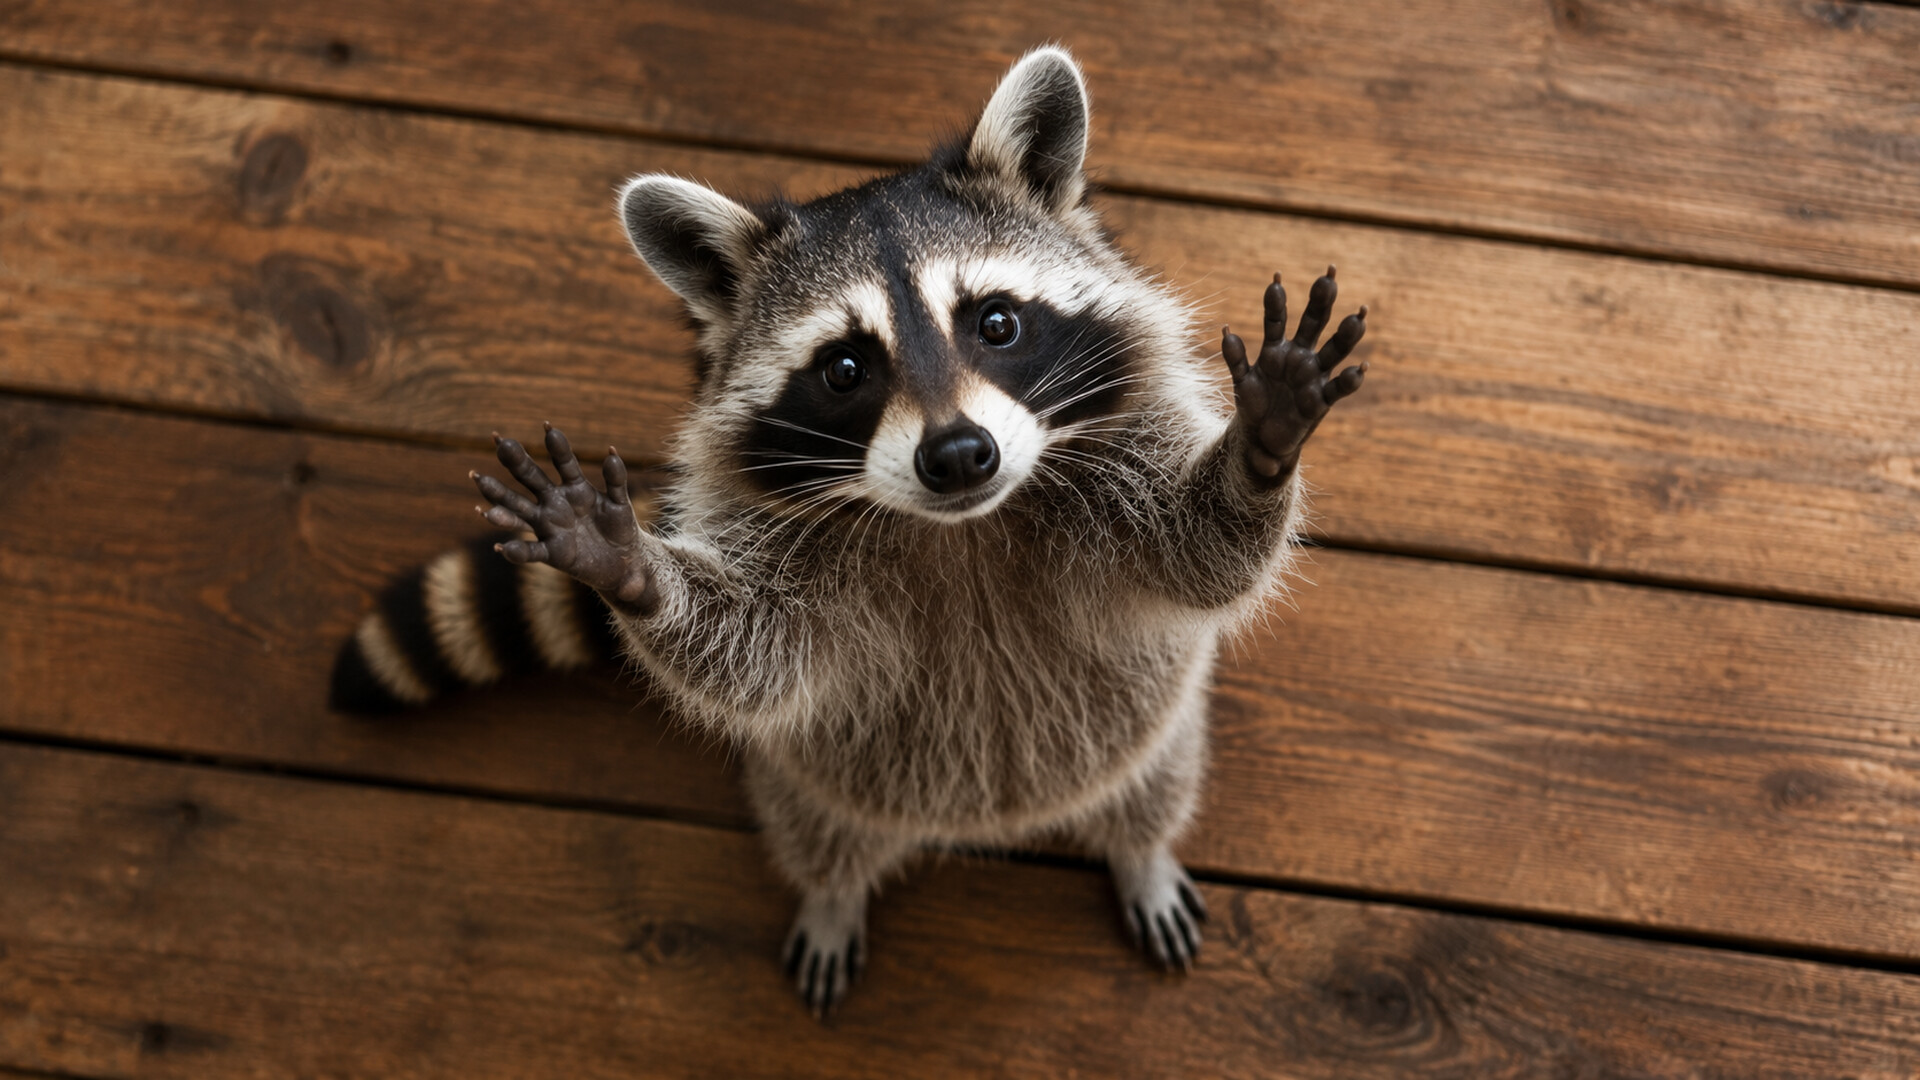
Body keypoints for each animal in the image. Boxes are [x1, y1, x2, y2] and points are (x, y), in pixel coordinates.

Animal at [330, 46, 1367, 1013]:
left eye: (996, 322)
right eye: (844, 369)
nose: (960, 456)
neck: (962, 526)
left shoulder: (1120, 461)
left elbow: (1197, 556)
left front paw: (1259, 447)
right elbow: (753, 651)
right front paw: (633, 571)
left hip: (1158, 735)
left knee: (1154, 785)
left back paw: (1141, 851)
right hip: (809, 780)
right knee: (820, 831)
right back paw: (832, 893)